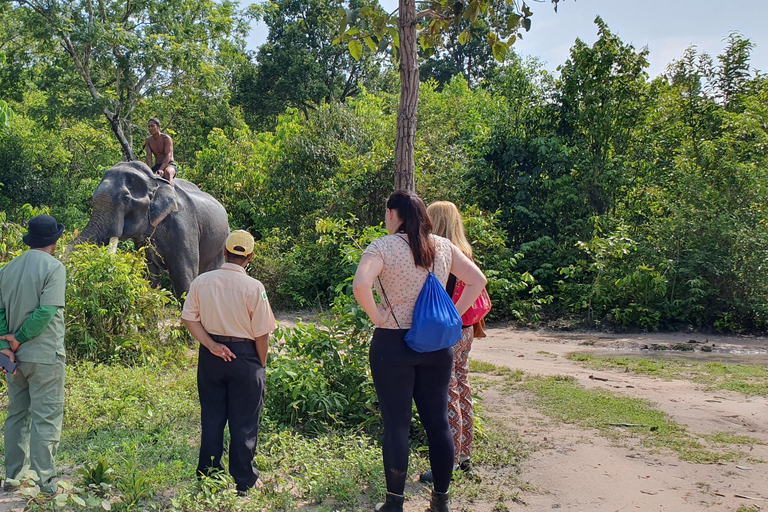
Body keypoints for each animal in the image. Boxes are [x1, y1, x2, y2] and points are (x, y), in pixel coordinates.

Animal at [71, 161, 230, 300]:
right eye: (93, 199)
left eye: (125, 200)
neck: (154, 182)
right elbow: (149, 276)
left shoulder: (185, 227)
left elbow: (184, 278)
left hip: (222, 243)